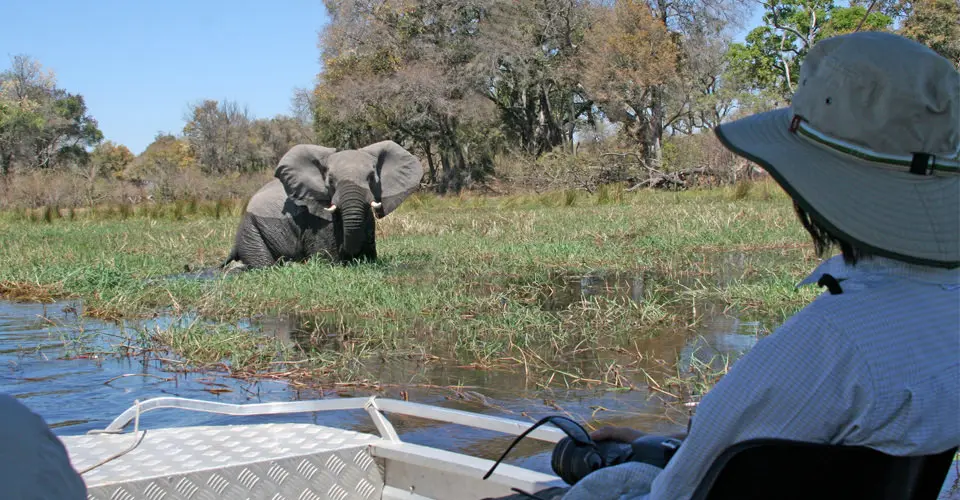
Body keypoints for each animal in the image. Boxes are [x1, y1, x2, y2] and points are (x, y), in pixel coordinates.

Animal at [221, 140, 423, 269]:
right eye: (330, 181)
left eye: (371, 178)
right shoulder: (315, 221)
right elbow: (327, 259)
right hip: (251, 230)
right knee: (263, 264)